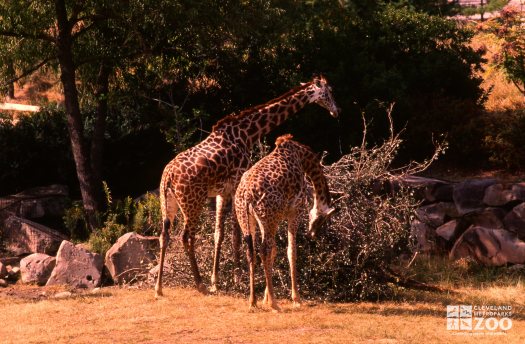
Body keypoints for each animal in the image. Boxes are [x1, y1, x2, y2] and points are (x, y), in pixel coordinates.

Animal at [234, 134, 334, 312]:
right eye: (321, 221)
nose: (312, 234)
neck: (304, 159)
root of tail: (246, 194)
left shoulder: (270, 219)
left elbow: (275, 251)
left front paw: (265, 298)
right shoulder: (295, 211)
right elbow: (291, 251)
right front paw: (296, 299)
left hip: (247, 218)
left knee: (251, 251)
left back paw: (252, 301)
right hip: (268, 217)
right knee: (263, 250)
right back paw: (275, 304)